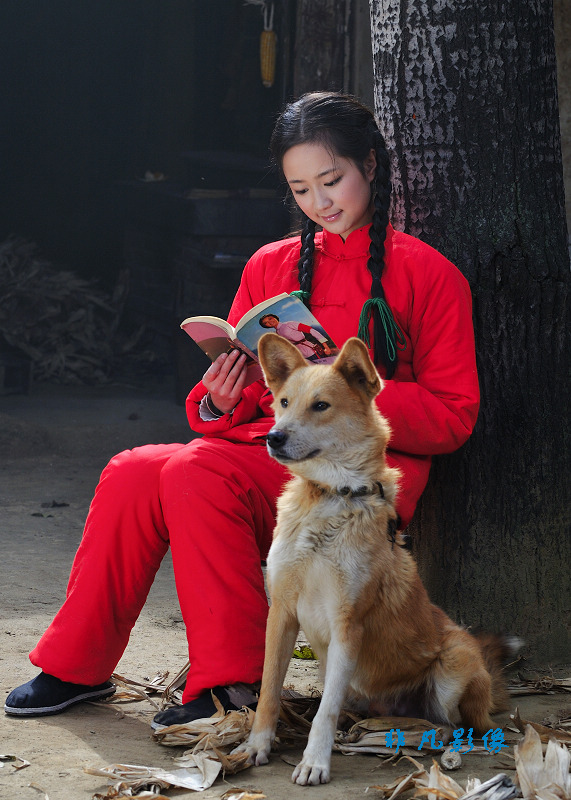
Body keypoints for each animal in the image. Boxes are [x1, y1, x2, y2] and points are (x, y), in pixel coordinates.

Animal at [235, 334, 516, 784]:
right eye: (282, 402)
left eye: (320, 405)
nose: (273, 437)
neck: (331, 496)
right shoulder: (281, 612)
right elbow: (268, 694)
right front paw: (255, 746)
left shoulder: (347, 624)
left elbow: (324, 712)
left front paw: (315, 762)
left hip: (453, 668)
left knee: (459, 724)